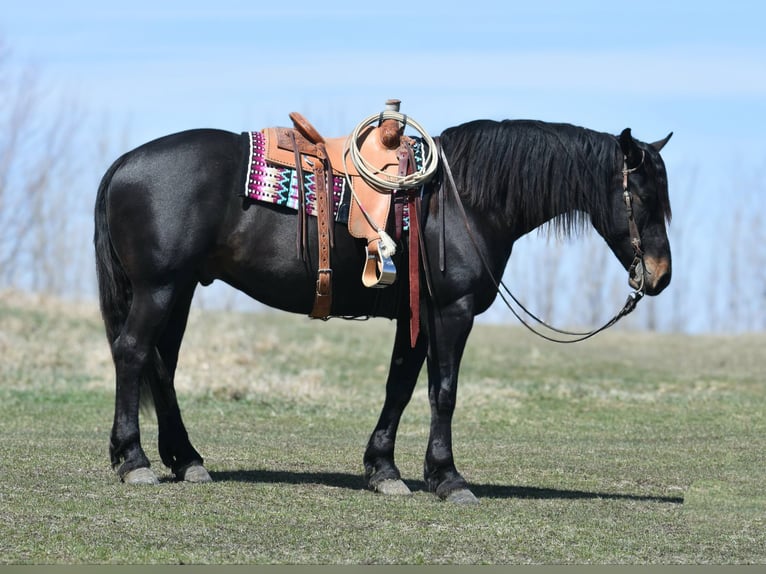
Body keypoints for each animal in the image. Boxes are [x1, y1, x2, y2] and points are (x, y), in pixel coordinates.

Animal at [94, 117, 673, 503]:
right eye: (643, 198)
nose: (660, 276)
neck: (463, 199)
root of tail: (123, 164)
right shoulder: (453, 313)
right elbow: (443, 392)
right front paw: (448, 478)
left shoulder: (418, 318)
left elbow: (400, 386)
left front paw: (384, 471)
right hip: (160, 287)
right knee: (133, 353)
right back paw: (134, 460)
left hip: (180, 289)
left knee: (161, 366)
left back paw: (186, 460)